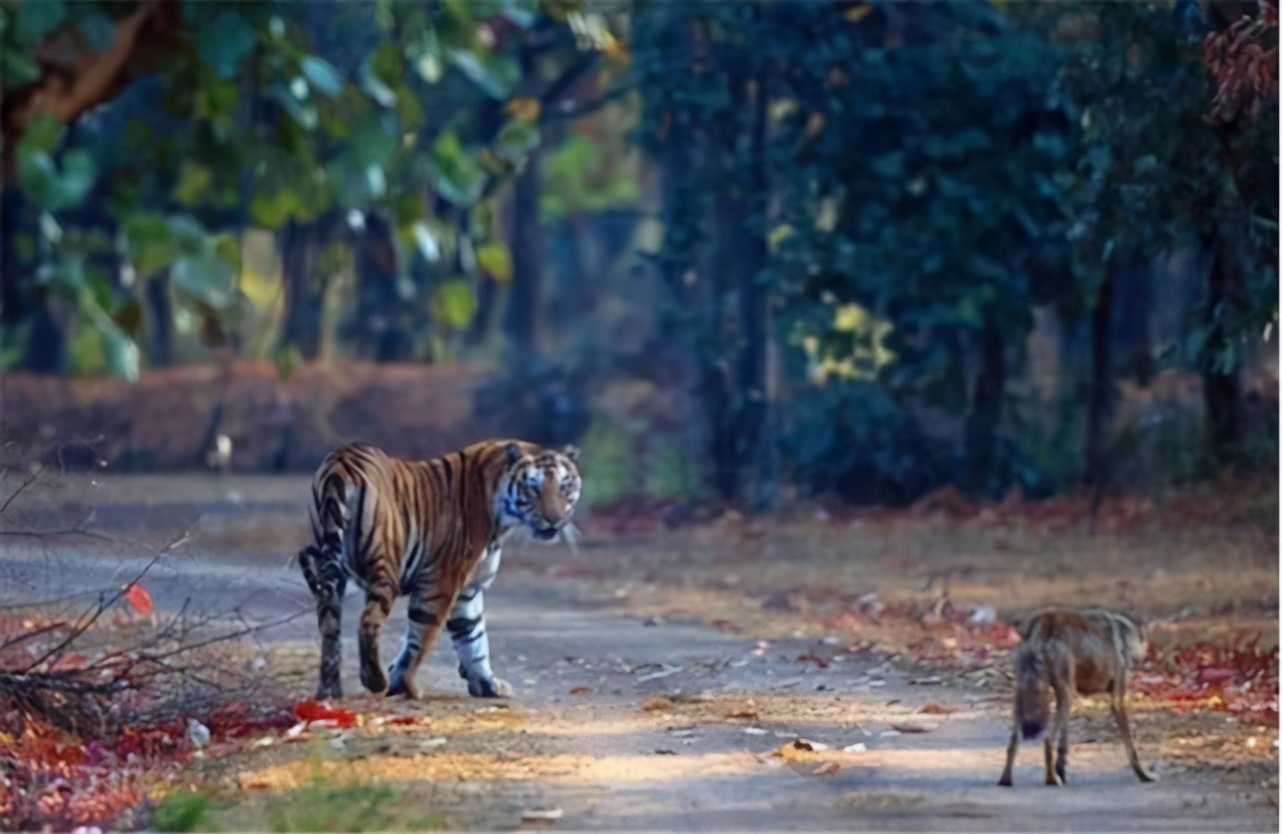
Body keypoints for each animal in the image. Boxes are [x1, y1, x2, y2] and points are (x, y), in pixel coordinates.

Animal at [294, 440, 582, 702]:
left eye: (564, 486)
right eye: (533, 488)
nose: (555, 519)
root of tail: (339, 465)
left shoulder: (468, 588)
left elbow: (473, 637)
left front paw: (487, 685)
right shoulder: (440, 580)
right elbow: (421, 638)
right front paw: (406, 685)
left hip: (332, 577)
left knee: (329, 630)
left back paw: (329, 692)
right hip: (384, 568)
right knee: (368, 621)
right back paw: (375, 681)